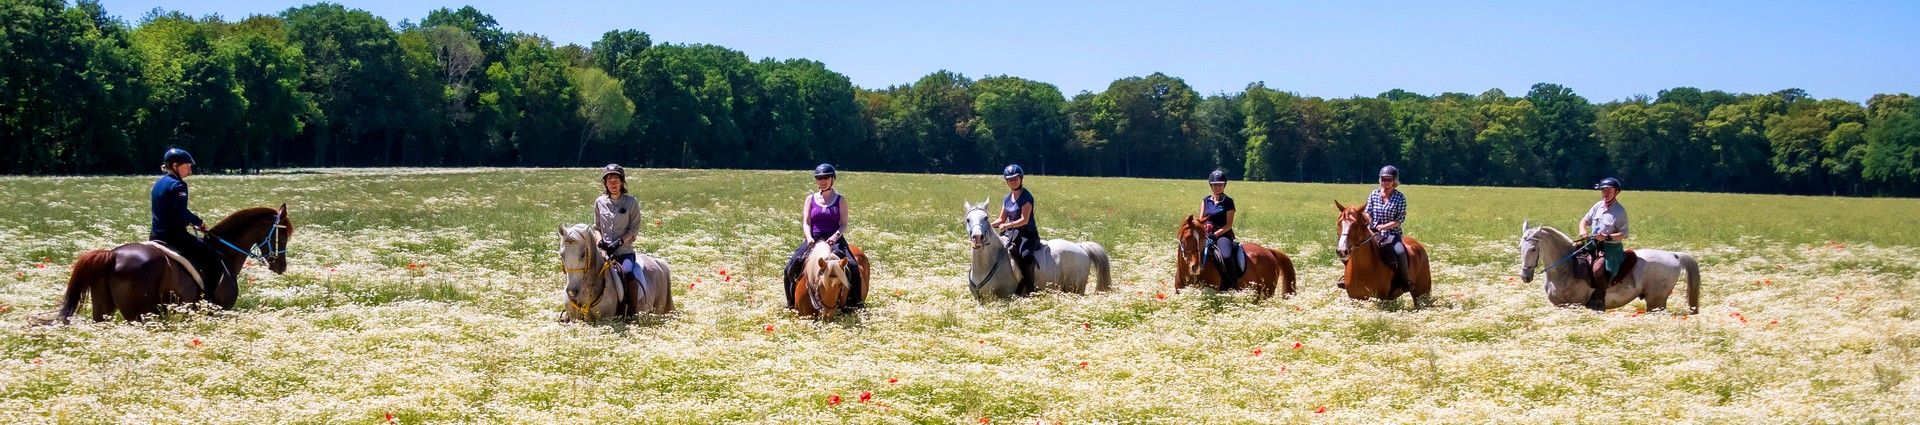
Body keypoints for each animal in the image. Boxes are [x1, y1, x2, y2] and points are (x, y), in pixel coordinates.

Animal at [40, 203, 291, 323]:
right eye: (283, 232)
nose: (281, 266)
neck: (224, 252)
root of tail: (112, 255)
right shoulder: (219, 311)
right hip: (138, 315)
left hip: (104, 311)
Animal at [960, 200, 1113, 300]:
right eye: (968, 219)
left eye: (985, 218)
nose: (977, 237)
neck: (988, 264)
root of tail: (1081, 247)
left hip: (1076, 290)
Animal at [1520, 221, 1704, 313]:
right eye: (1520, 247)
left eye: (1533, 249)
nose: (1525, 276)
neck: (1566, 268)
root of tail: (1674, 255)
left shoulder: (1573, 306)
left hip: (1656, 301)